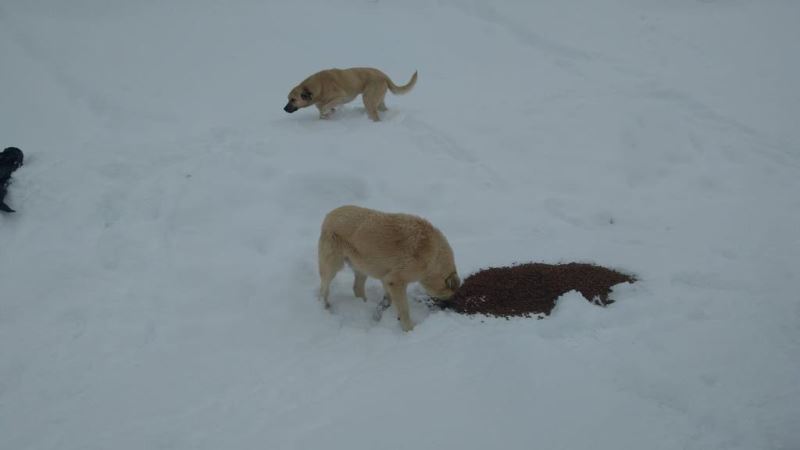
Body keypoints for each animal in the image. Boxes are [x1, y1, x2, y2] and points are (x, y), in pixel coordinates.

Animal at [282, 67, 418, 121]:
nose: (284, 109)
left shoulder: (341, 97)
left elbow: (326, 107)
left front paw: (327, 112)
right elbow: (323, 111)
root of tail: (384, 75)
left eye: (293, 99)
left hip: (368, 99)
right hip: (378, 100)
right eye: (288, 99)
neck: (318, 86)